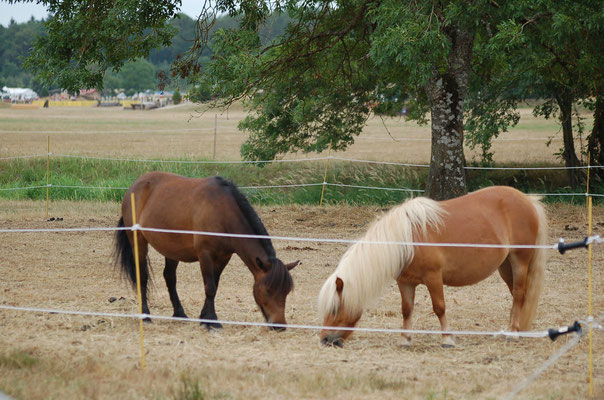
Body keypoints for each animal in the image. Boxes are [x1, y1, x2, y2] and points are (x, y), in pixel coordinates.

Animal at [112, 172, 298, 332]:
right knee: (142, 277)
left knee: (170, 278)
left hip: (171, 249)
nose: (280, 326)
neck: (223, 212)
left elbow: (214, 285)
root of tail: (135, 185)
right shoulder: (205, 255)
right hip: (138, 241)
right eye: (268, 290)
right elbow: (210, 288)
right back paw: (145, 315)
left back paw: (180, 314)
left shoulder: (224, 258)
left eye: (286, 292)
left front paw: (204, 318)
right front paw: (212, 321)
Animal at [318, 187, 548, 346]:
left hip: (520, 261)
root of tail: (527, 200)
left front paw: (447, 339)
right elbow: (406, 310)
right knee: (517, 296)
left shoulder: (434, 278)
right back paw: (513, 329)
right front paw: (405, 340)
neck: (406, 240)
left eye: (335, 308)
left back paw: (513, 334)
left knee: (518, 294)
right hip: (505, 266)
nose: (325, 340)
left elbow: (439, 307)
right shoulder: (405, 283)